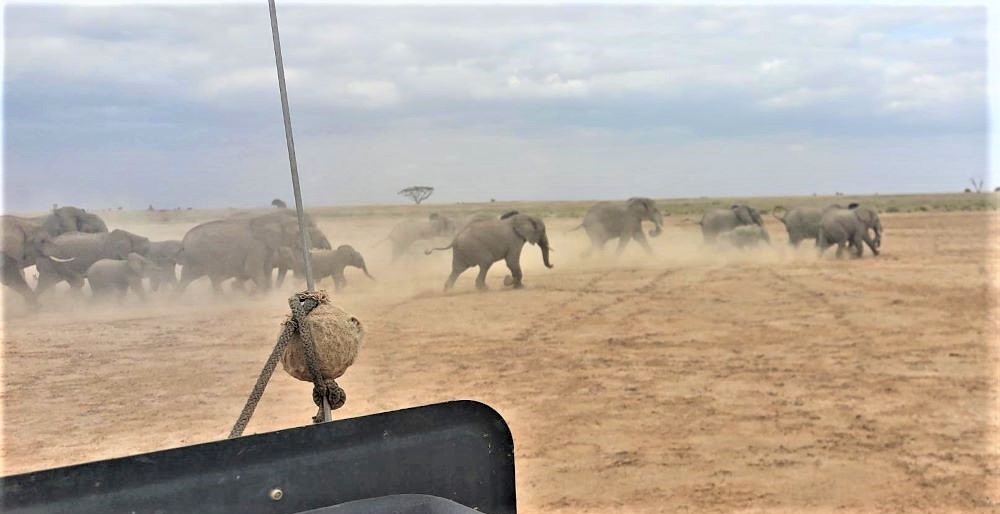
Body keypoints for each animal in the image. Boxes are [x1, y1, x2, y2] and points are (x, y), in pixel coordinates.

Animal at [179, 210, 332, 294]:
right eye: (297, 232)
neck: (272, 218)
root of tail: (184, 240)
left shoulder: (267, 248)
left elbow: (267, 269)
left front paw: (268, 294)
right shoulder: (256, 247)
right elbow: (252, 269)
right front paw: (264, 295)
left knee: (188, 278)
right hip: (201, 258)